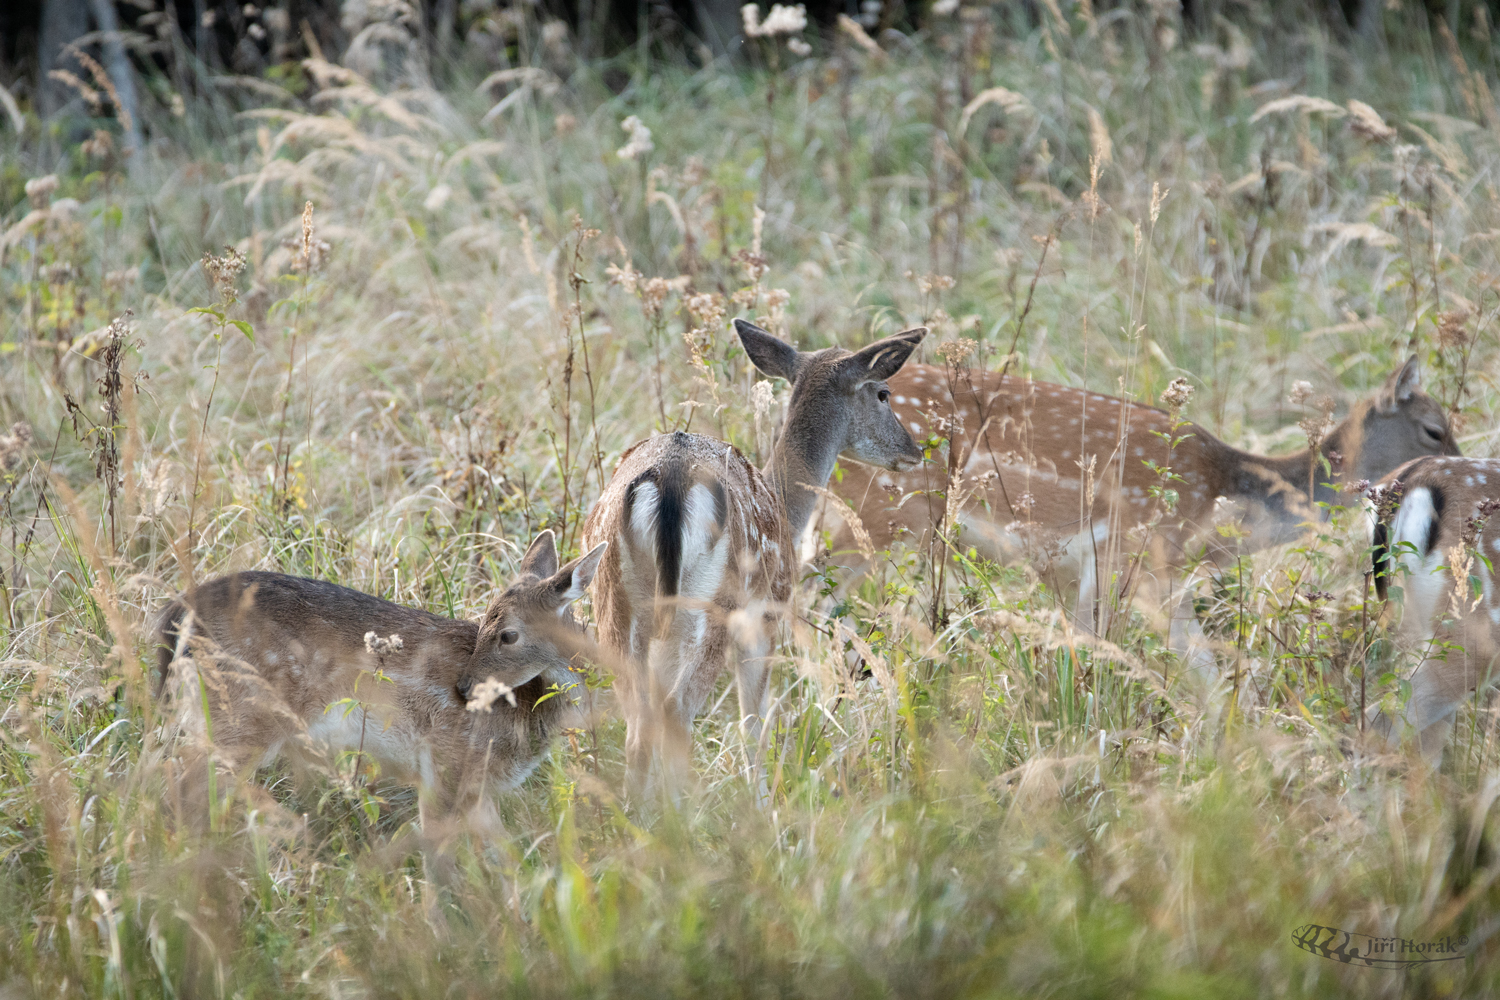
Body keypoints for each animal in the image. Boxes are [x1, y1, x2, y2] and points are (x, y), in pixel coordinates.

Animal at [147, 530, 603, 821]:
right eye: (484, 624)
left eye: (507, 633)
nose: (464, 688)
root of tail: (178, 615)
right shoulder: (448, 764)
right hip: (242, 713)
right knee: (179, 789)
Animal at [585, 316, 924, 803]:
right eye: (883, 393)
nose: (915, 450)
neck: (785, 510)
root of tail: (669, 479)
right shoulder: (766, 613)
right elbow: (756, 722)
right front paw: (762, 802)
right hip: (714, 602)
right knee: (677, 709)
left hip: (614, 597)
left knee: (639, 716)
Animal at [822, 353, 1452, 680]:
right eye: (1434, 429)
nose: (1456, 465)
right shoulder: (1129, 552)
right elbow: (1092, 649)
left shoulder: (1160, 579)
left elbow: (1207, 672)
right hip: (876, 514)